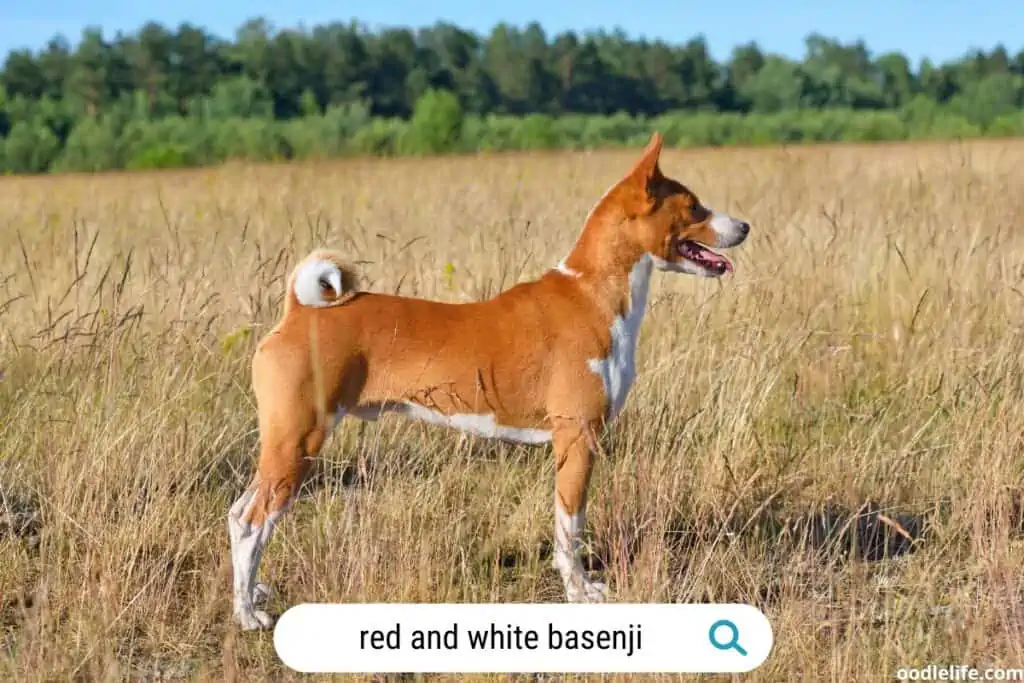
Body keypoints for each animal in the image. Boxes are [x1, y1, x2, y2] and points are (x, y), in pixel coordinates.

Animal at [226, 132, 753, 630]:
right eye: (694, 207)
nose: (745, 226)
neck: (593, 294)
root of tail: (299, 312)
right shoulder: (577, 437)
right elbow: (570, 527)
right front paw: (579, 591)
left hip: (284, 446)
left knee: (238, 515)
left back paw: (251, 595)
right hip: (299, 440)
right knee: (254, 523)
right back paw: (248, 616)